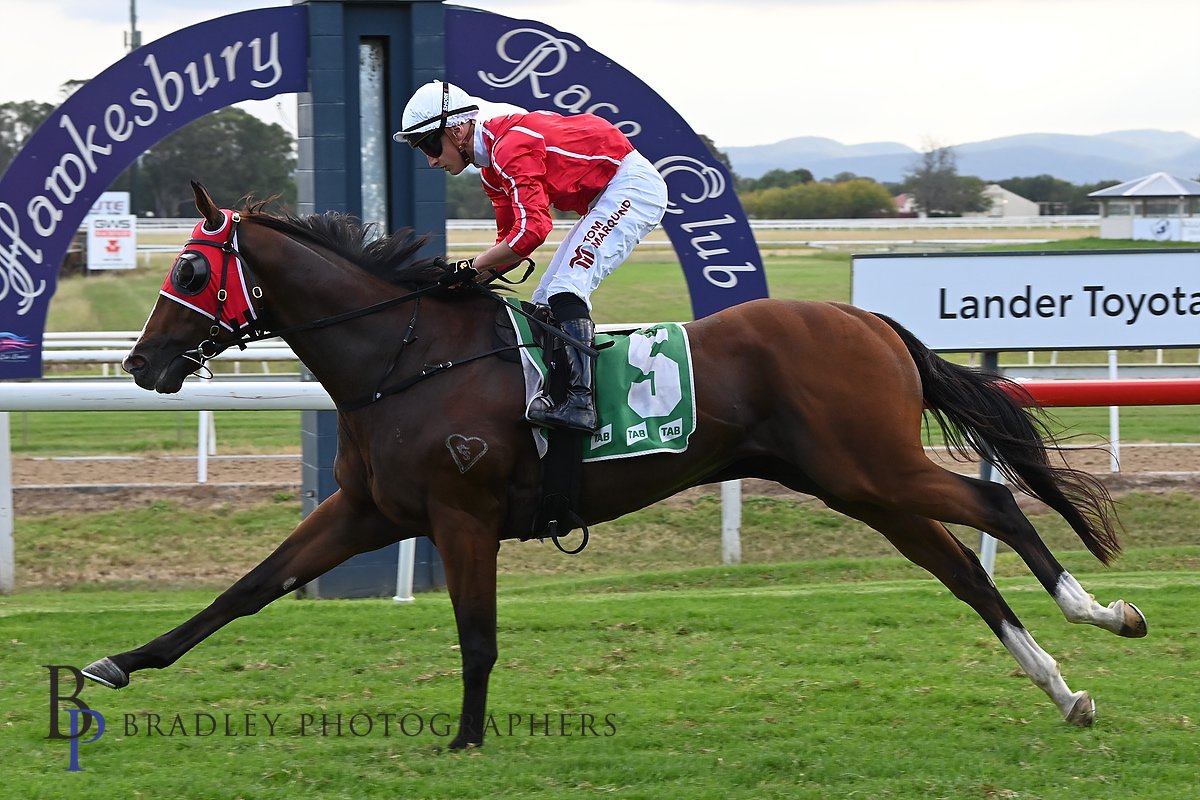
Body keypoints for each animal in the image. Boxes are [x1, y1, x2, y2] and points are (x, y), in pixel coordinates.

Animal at [79, 183, 1147, 753]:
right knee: (961, 566)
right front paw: (117, 663)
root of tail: (868, 317)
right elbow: (247, 590)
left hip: (871, 465)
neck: (403, 358)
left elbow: (476, 636)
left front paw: (466, 738)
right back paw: (1063, 688)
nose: (141, 364)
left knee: (992, 508)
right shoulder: (368, 511)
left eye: (189, 270)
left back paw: (1104, 615)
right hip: (854, 483)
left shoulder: (462, 514)